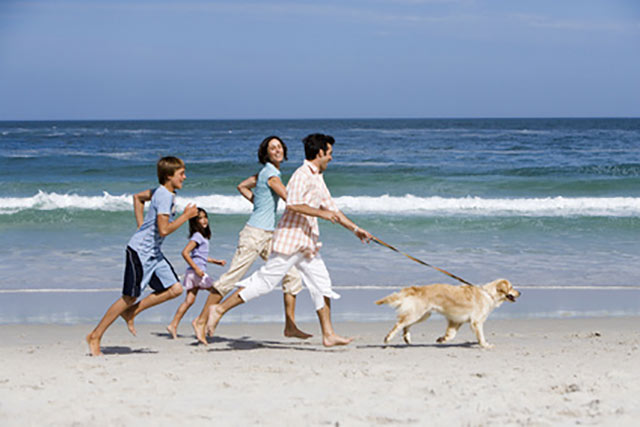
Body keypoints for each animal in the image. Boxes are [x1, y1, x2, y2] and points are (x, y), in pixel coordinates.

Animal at [376, 280, 520, 350]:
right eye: (512, 287)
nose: (520, 293)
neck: (489, 294)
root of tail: (416, 288)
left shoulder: (456, 320)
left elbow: (451, 335)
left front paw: (442, 339)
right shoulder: (476, 322)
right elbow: (481, 336)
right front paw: (485, 345)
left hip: (423, 315)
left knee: (405, 325)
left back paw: (407, 338)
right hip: (418, 313)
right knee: (399, 323)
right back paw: (388, 338)